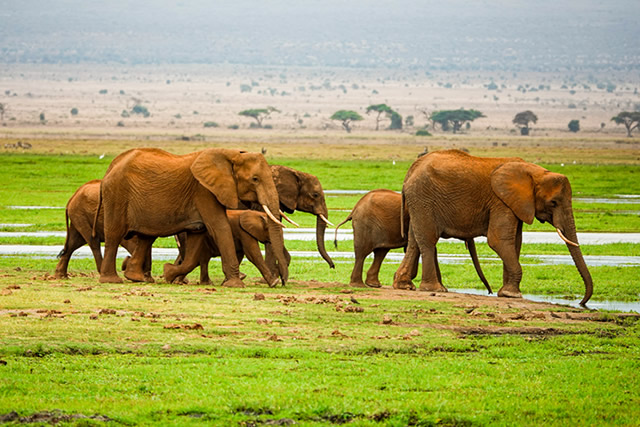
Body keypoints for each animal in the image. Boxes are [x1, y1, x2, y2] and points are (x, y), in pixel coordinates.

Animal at [162, 209, 290, 286]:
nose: (283, 282)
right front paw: (274, 283)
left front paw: (227, 282)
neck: (256, 214)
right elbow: (252, 254)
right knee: (197, 259)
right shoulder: (244, 232)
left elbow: (239, 253)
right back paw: (176, 280)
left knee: (201, 259)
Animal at [332, 189, 492, 292]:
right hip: (364, 225)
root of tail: (353, 210)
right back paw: (359, 286)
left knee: (380, 252)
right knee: (362, 253)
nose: (490, 291)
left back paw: (374, 285)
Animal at [392, 150, 592, 308]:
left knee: (414, 241)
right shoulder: (501, 201)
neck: (536, 172)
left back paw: (404, 285)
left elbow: (515, 242)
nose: (582, 302)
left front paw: (506, 292)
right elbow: (498, 240)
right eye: (553, 203)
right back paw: (435, 289)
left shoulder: (515, 203)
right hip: (423, 198)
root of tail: (410, 171)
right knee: (427, 240)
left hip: (418, 201)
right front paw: (512, 294)